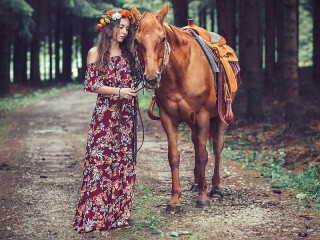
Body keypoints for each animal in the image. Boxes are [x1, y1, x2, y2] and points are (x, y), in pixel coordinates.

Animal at [131, 4, 239, 212]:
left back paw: (215, 188)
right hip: (192, 122)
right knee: (196, 143)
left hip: (220, 117)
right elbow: (174, 156)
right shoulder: (168, 118)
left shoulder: (203, 116)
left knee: (217, 147)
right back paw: (197, 183)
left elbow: (204, 155)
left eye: (162, 38)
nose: (151, 78)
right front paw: (174, 200)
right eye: (136, 40)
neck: (181, 71)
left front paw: (203, 198)